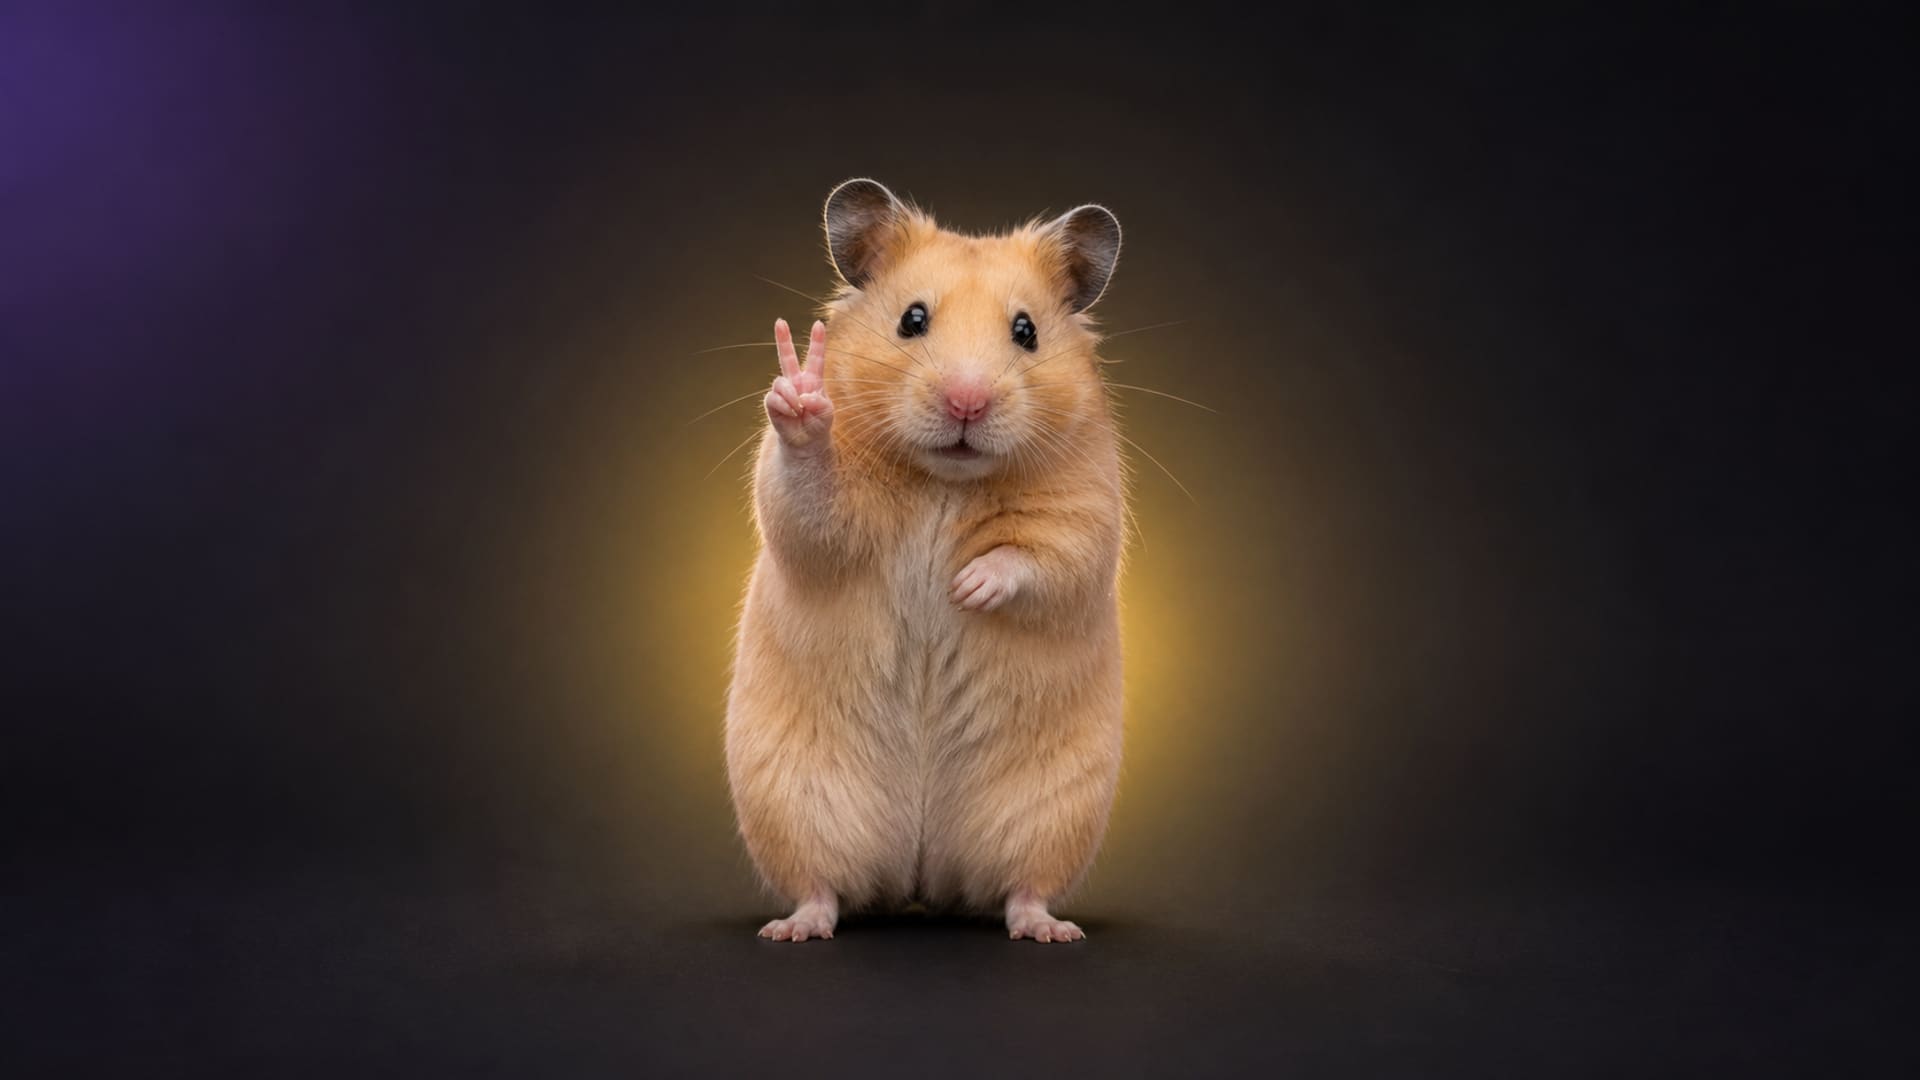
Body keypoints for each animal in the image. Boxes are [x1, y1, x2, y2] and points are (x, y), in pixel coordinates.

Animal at [725, 178, 1126, 943]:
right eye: (912, 319)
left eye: (1026, 331)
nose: (967, 401)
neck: (946, 479)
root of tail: (919, 877)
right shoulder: (817, 515)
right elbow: (809, 506)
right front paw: (801, 394)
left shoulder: (1089, 504)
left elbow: (1044, 556)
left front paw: (965, 587)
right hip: (793, 803)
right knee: (822, 886)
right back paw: (794, 928)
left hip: (1054, 813)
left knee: (1022, 888)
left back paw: (1050, 929)